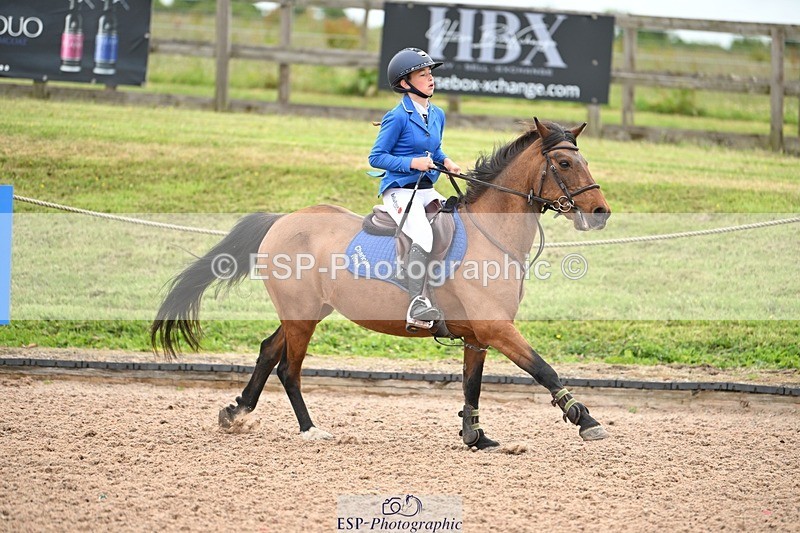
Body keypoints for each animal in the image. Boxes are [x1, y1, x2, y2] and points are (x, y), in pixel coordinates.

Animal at [151, 118, 612, 448]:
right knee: (288, 369)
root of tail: (282, 220)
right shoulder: (496, 328)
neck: (490, 233)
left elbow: (472, 386)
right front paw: (585, 419)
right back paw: (310, 430)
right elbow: (544, 369)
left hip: (305, 313)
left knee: (267, 353)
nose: (600, 212)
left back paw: (237, 412)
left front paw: (475, 436)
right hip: (302, 317)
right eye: (565, 164)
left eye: (585, 161)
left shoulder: (477, 335)